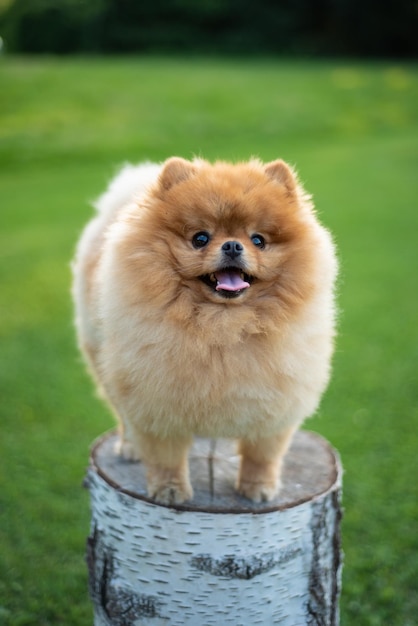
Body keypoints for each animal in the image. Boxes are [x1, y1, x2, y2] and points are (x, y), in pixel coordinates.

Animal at [73, 156, 338, 502]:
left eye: (258, 240)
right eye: (200, 238)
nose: (233, 245)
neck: (222, 325)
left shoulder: (277, 401)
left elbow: (263, 453)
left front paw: (258, 487)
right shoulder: (153, 397)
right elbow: (164, 455)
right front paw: (170, 490)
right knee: (122, 413)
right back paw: (130, 446)